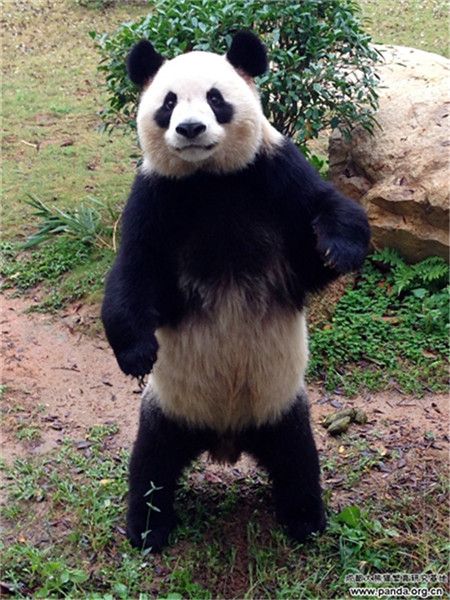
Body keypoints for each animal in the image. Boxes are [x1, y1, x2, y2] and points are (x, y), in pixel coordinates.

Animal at [101, 30, 370, 552]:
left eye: (215, 98)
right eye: (167, 103)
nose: (189, 129)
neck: (210, 179)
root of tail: (226, 437)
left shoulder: (274, 172)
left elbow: (325, 219)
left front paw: (338, 250)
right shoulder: (156, 195)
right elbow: (134, 271)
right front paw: (137, 354)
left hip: (281, 405)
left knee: (298, 460)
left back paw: (305, 522)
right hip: (170, 408)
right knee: (151, 465)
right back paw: (147, 530)